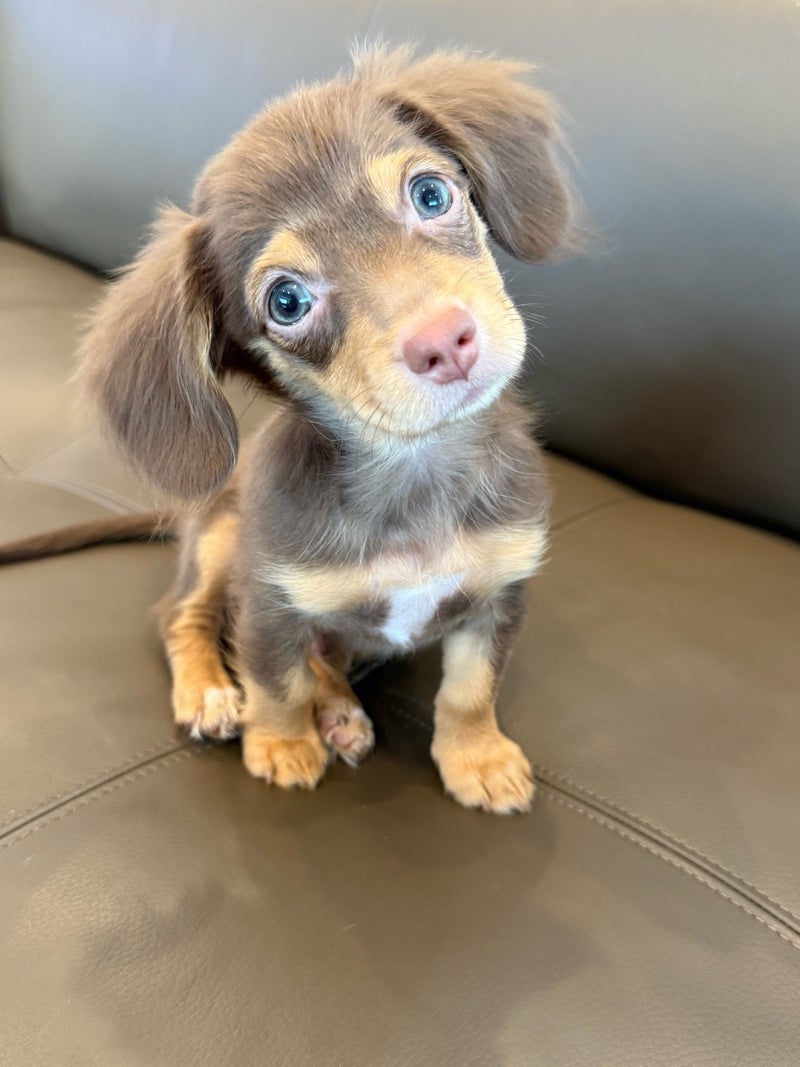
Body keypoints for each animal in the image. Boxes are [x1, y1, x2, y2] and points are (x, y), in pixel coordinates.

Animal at [4, 46, 580, 813]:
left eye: (431, 194)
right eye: (286, 301)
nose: (445, 342)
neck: (413, 471)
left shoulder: (498, 593)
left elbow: (470, 688)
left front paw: (476, 756)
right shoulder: (269, 598)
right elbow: (275, 679)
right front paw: (279, 742)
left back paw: (337, 708)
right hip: (220, 537)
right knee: (178, 614)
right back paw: (214, 692)